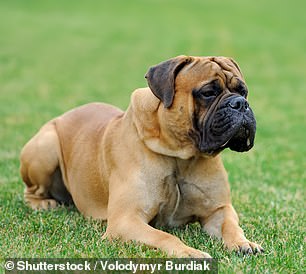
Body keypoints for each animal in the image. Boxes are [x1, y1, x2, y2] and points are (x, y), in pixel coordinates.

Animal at [19, 55, 262, 256]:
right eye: (208, 93)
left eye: (243, 91)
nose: (240, 104)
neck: (179, 156)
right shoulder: (126, 221)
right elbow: (164, 236)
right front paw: (188, 253)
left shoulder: (219, 210)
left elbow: (231, 226)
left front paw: (244, 243)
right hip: (46, 146)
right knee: (31, 191)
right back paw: (43, 204)